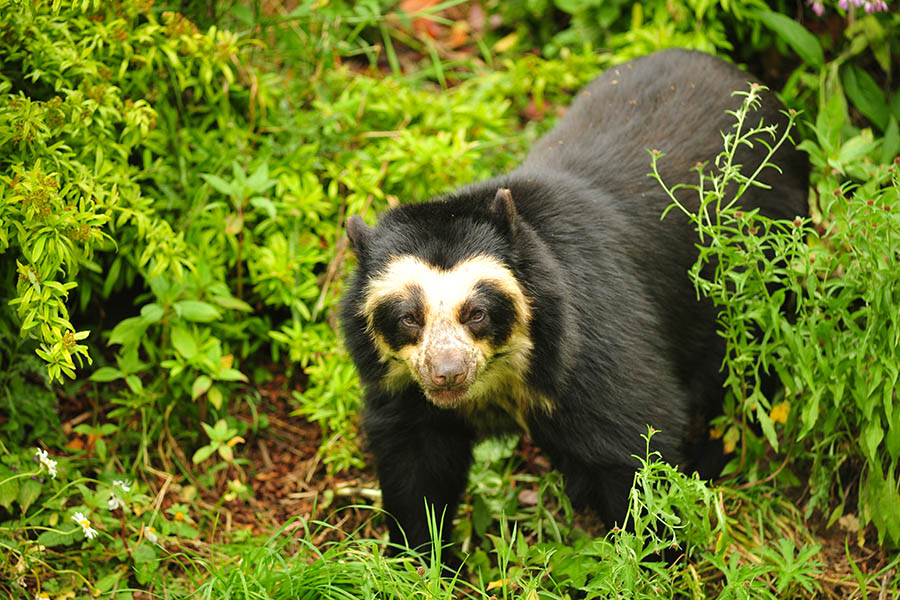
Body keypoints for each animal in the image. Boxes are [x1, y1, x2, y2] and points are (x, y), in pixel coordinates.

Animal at [338, 49, 808, 556]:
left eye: (477, 313)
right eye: (409, 318)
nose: (448, 373)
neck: (505, 373)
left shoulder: (590, 344)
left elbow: (637, 441)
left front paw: (653, 554)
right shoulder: (403, 388)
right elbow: (415, 465)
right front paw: (420, 555)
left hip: (763, 266)